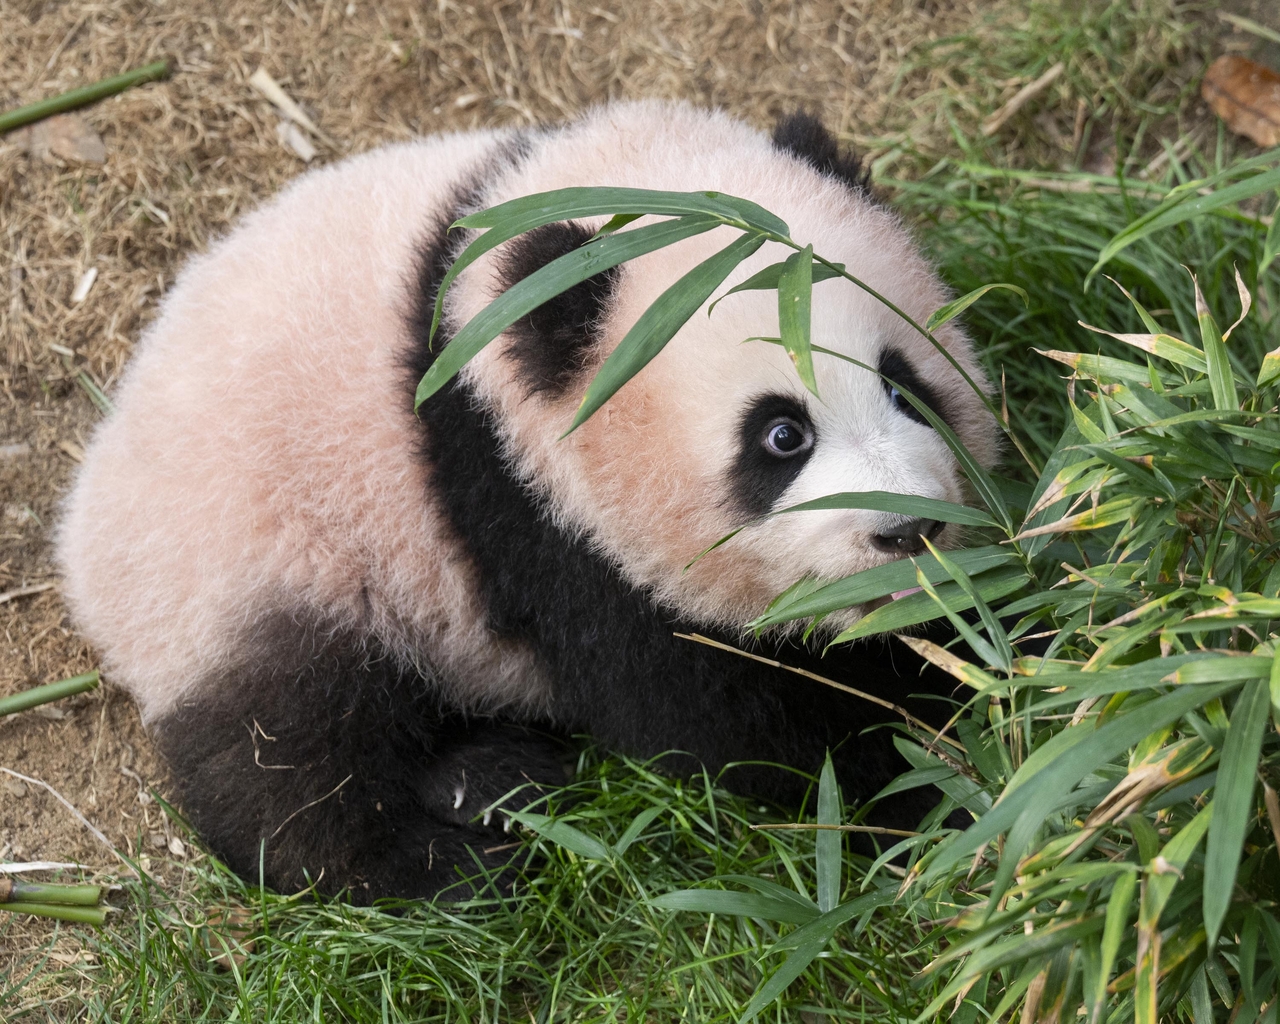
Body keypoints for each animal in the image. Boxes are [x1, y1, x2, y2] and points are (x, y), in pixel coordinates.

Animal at [56, 101, 997, 901]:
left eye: (904, 385)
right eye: (780, 435)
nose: (907, 529)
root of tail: (81, 537)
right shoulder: (522, 503)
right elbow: (712, 710)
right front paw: (932, 780)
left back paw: (491, 777)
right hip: (253, 566)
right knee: (291, 746)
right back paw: (454, 865)